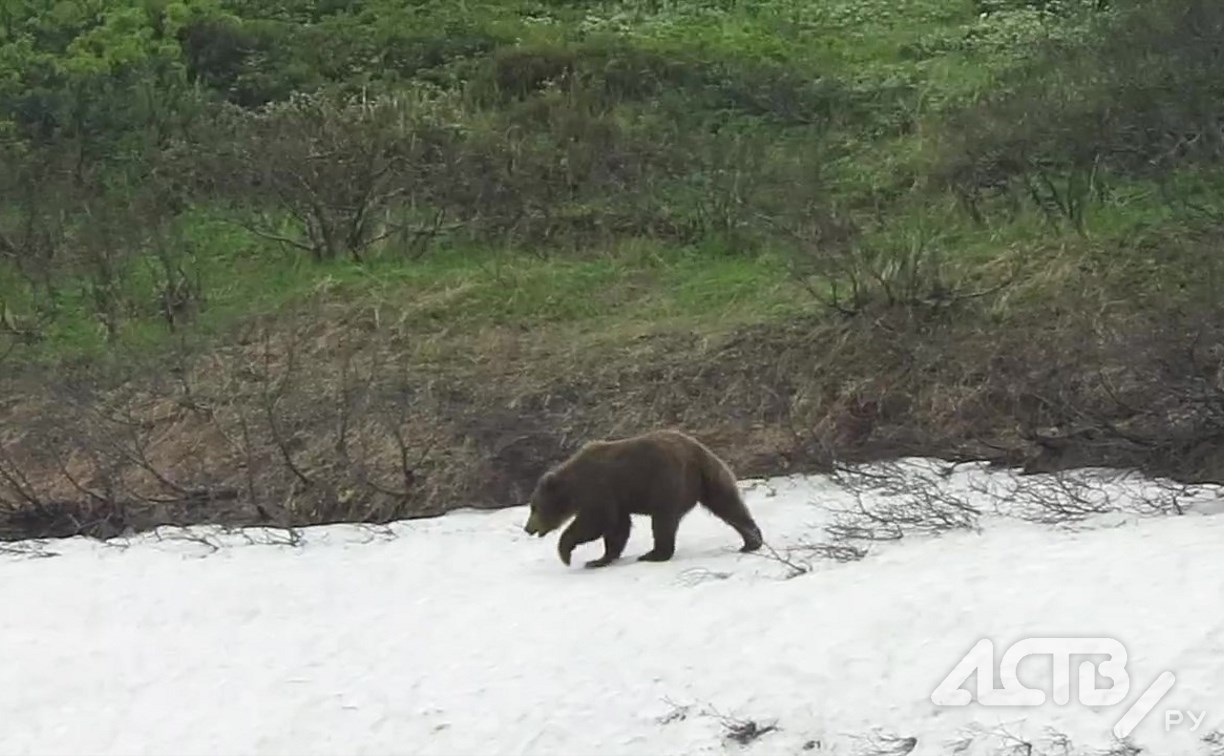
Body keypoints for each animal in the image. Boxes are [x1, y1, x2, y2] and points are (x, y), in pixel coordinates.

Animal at [521, 429, 764, 568]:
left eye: (534, 507)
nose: (527, 528)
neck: (573, 486)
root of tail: (697, 454)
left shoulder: (599, 489)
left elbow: (597, 521)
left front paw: (568, 554)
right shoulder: (617, 499)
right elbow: (617, 528)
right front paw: (601, 559)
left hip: (667, 484)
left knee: (663, 522)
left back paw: (653, 554)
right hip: (711, 478)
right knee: (730, 506)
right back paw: (751, 541)